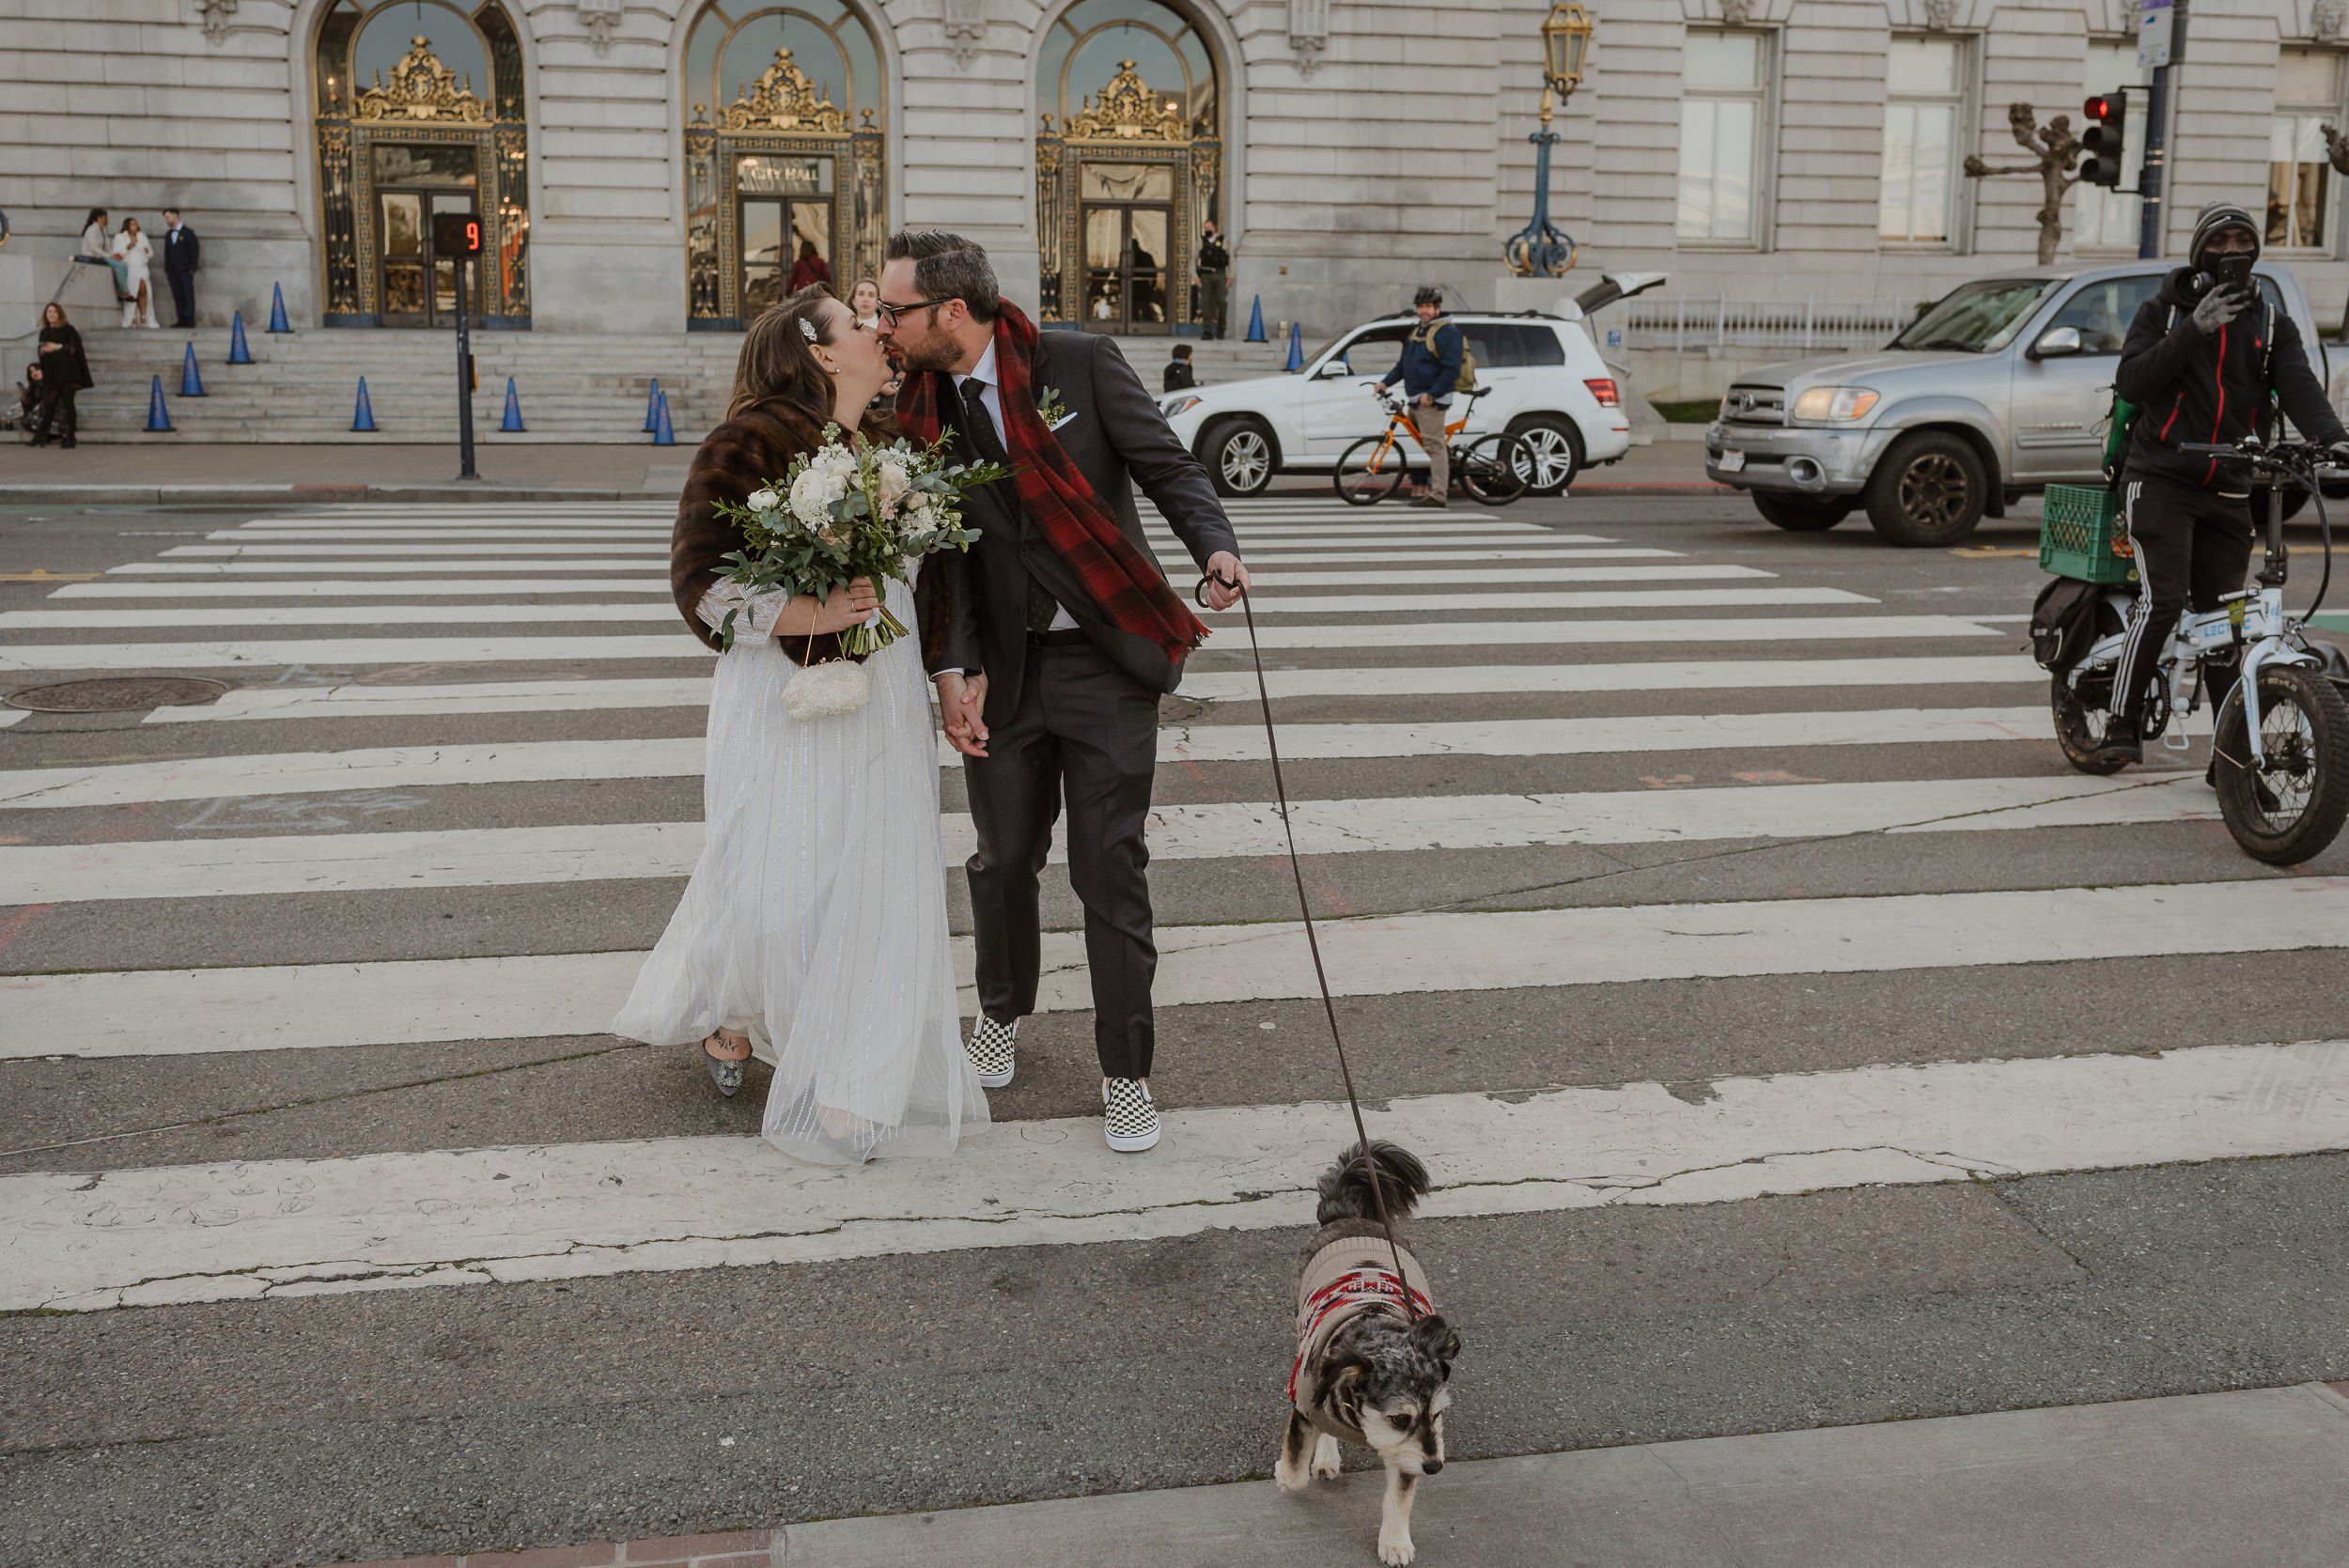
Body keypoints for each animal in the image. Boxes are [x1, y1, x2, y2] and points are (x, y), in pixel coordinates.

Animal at [1278, 1141, 1456, 1568]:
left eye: (1438, 1414)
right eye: (1399, 1417)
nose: (1435, 1467)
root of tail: (1349, 1216)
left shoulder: (1410, 1451)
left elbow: (1400, 1496)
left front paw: (1394, 1541)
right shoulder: (1305, 1402)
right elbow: (1294, 1472)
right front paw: (1284, 1469)